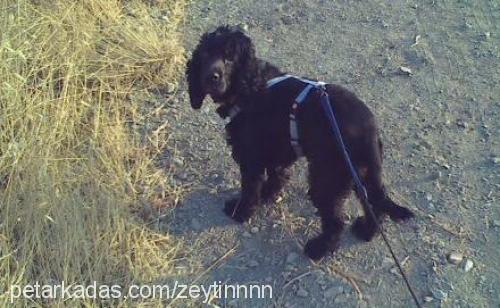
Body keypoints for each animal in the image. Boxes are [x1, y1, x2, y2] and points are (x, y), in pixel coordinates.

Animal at [186, 25, 412, 260]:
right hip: (359, 172)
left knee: (336, 220)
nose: (211, 77)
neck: (252, 86)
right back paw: (367, 231)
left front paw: (240, 210)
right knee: (374, 204)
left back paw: (319, 248)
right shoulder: (278, 149)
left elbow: (250, 186)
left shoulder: (252, 154)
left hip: (327, 176)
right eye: (205, 55)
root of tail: (369, 130)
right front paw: (268, 194)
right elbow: (276, 175)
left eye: (230, 58)